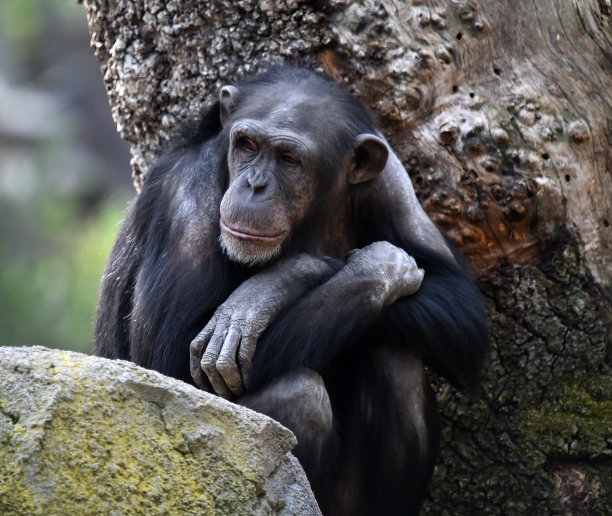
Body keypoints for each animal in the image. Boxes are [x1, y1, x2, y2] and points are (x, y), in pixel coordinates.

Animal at [95, 66, 488, 512]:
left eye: (289, 159)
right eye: (247, 145)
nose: (255, 185)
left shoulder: (391, 181)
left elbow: (461, 307)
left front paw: (265, 291)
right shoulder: (189, 195)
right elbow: (168, 364)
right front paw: (294, 275)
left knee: (396, 361)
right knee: (298, 394)